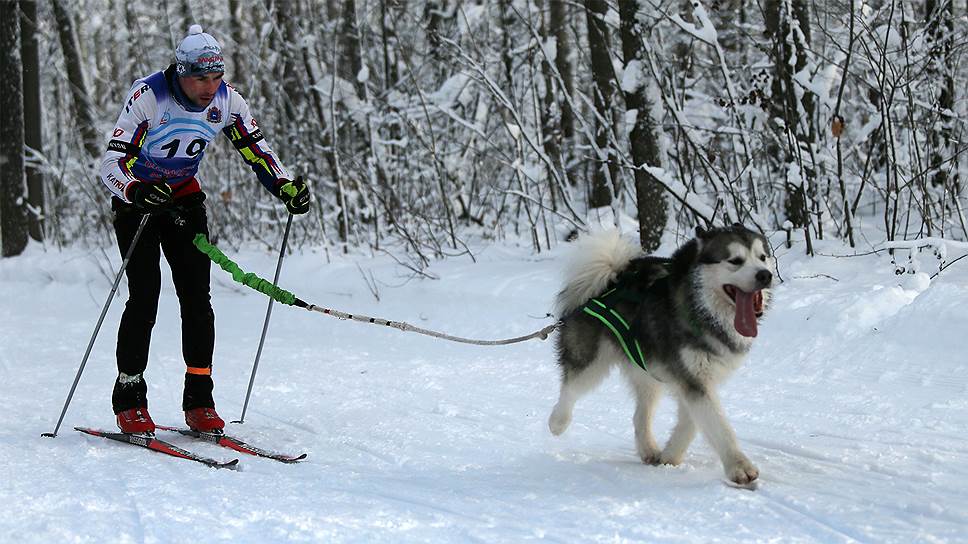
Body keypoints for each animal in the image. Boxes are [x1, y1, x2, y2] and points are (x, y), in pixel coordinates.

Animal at [548, 225, 776, 484]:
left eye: (762, 257)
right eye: (735, 260)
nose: (765, 275)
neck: (701, 308)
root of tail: (612, 277)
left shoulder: (696, 379)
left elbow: (692, 423)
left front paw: (671, 456)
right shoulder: (693, 379)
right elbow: (718, 424)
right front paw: (739, 466)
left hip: (647, 370)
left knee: (640, 415)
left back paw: (648, 449)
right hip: (590, 361)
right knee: (570, 388)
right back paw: (557, 422)